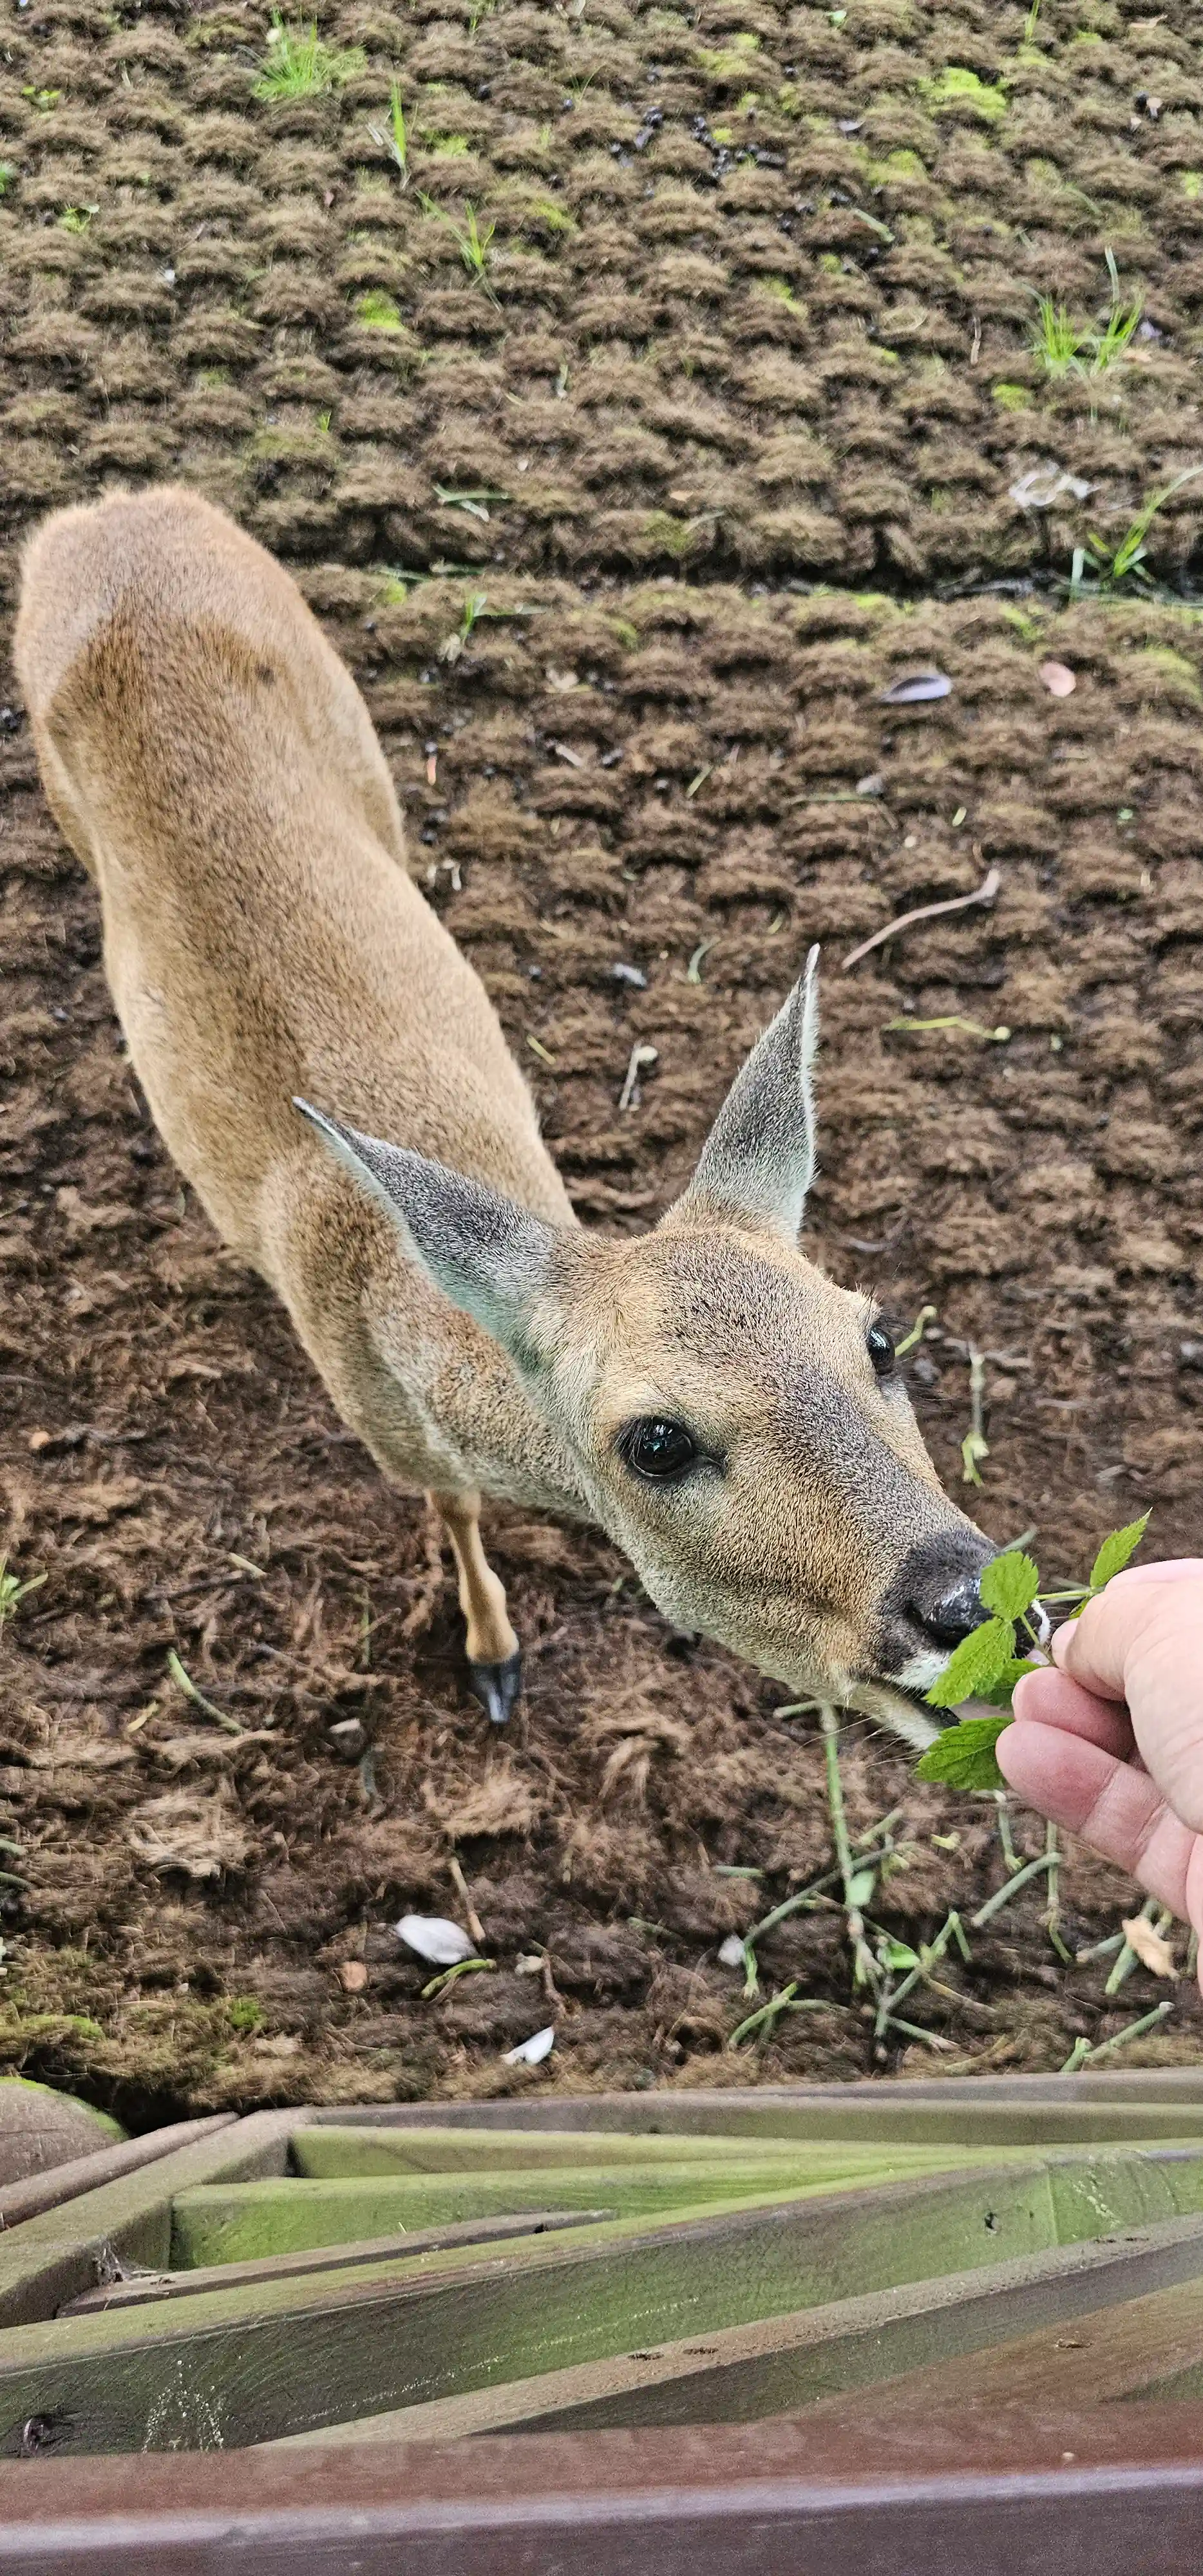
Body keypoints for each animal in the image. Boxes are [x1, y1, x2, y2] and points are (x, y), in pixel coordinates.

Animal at [16, 484, 999, 1752]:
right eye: (656, 1441)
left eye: (878, 1337)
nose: (964, 1602)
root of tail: (117, 505)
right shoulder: (387, 1431)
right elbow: (455, 1506)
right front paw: (492, 1657)